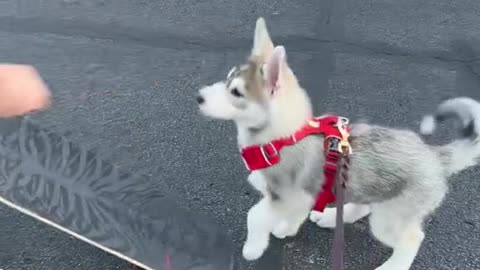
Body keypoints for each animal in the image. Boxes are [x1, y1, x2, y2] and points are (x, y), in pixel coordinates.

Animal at [195, 17, 480, 270]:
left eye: (236, 93)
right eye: (228, 78)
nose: (199, 97)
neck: (283, 138)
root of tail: (435, 155)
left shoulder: (287, 195)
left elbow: (255, 216)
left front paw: (253, 247)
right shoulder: (300, 197)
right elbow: (288, 214)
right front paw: (285, 228)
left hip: (391, 216)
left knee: (412, 237)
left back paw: (393, 265)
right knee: (363, 205)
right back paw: (331, 217)